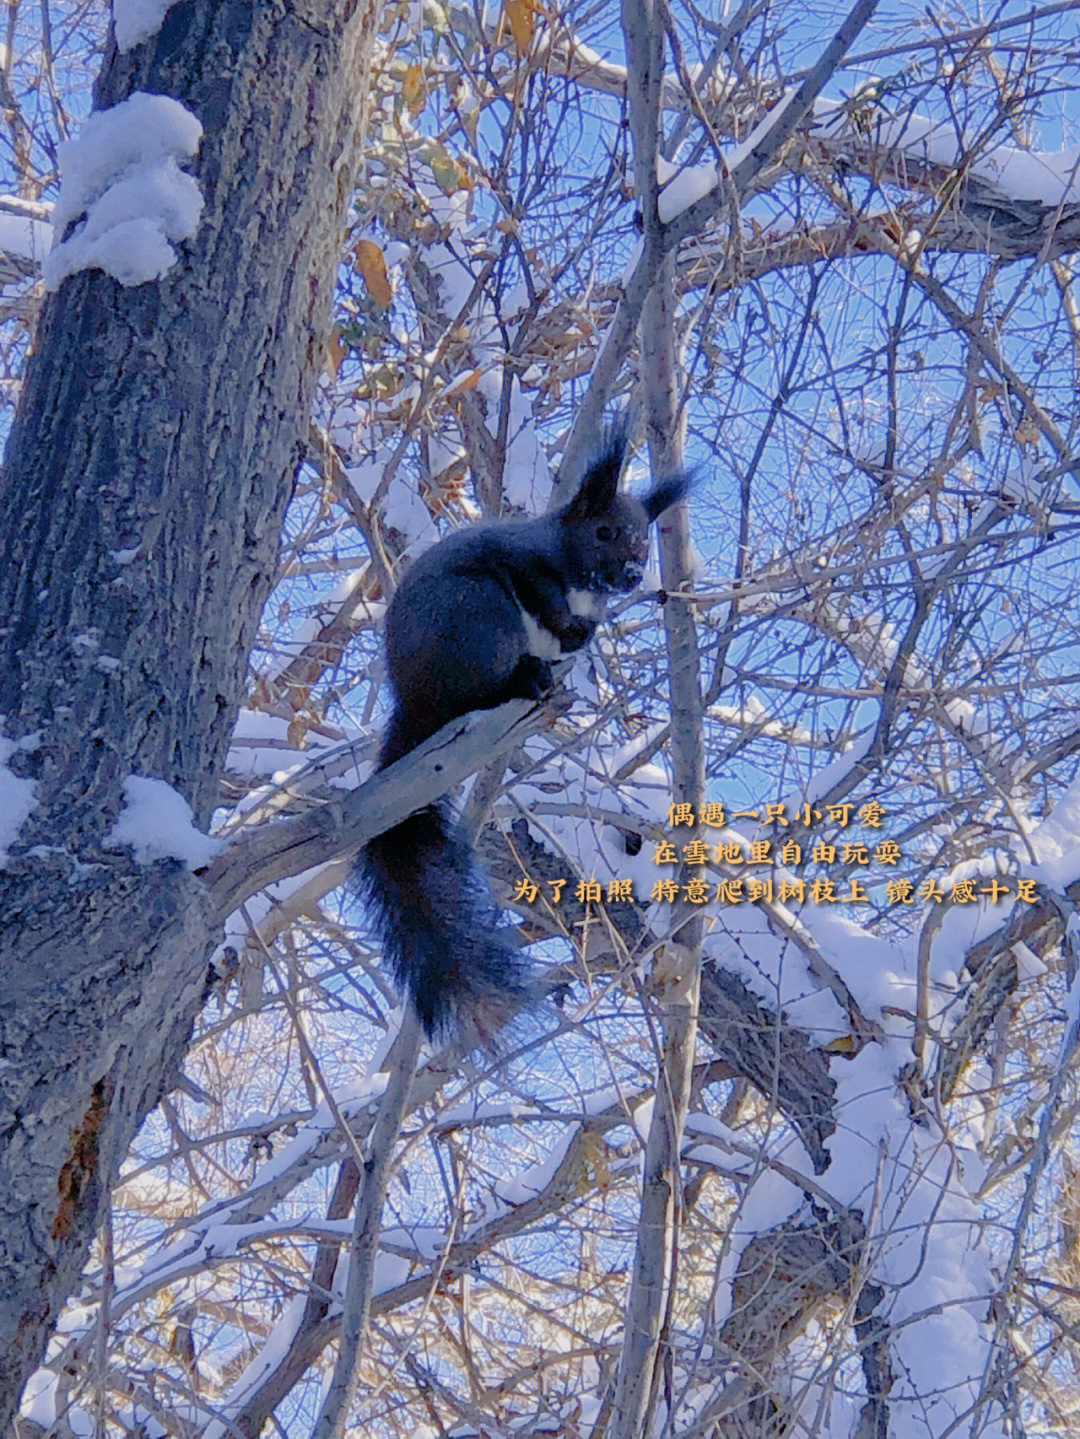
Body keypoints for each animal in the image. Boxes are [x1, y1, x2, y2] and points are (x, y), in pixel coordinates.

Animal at [359, 420, 687, 1041]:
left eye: (643, 543)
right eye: (604, 531)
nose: (633, 575)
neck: (579, 577)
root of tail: (414, 701)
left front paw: (581, 634)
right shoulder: (524, 565)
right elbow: (542, 595)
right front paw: (566, 624)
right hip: (478, 615)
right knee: (482, 684)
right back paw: (524, 677)